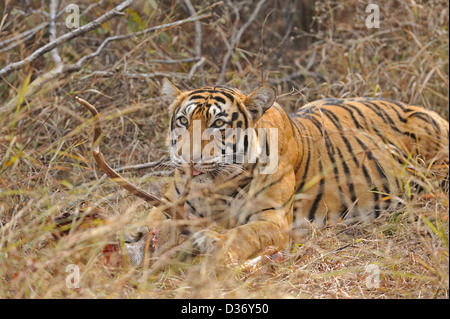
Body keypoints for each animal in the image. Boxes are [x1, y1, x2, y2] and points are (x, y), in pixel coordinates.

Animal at [125, 79, 448, 266]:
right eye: (183, 120)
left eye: (218, 124)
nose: (187, 159)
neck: (216, 185)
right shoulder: (172, 205)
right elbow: (153, 221)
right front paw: (135, 237)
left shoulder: (274, 218)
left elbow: (245, 234)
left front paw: (216, 242)